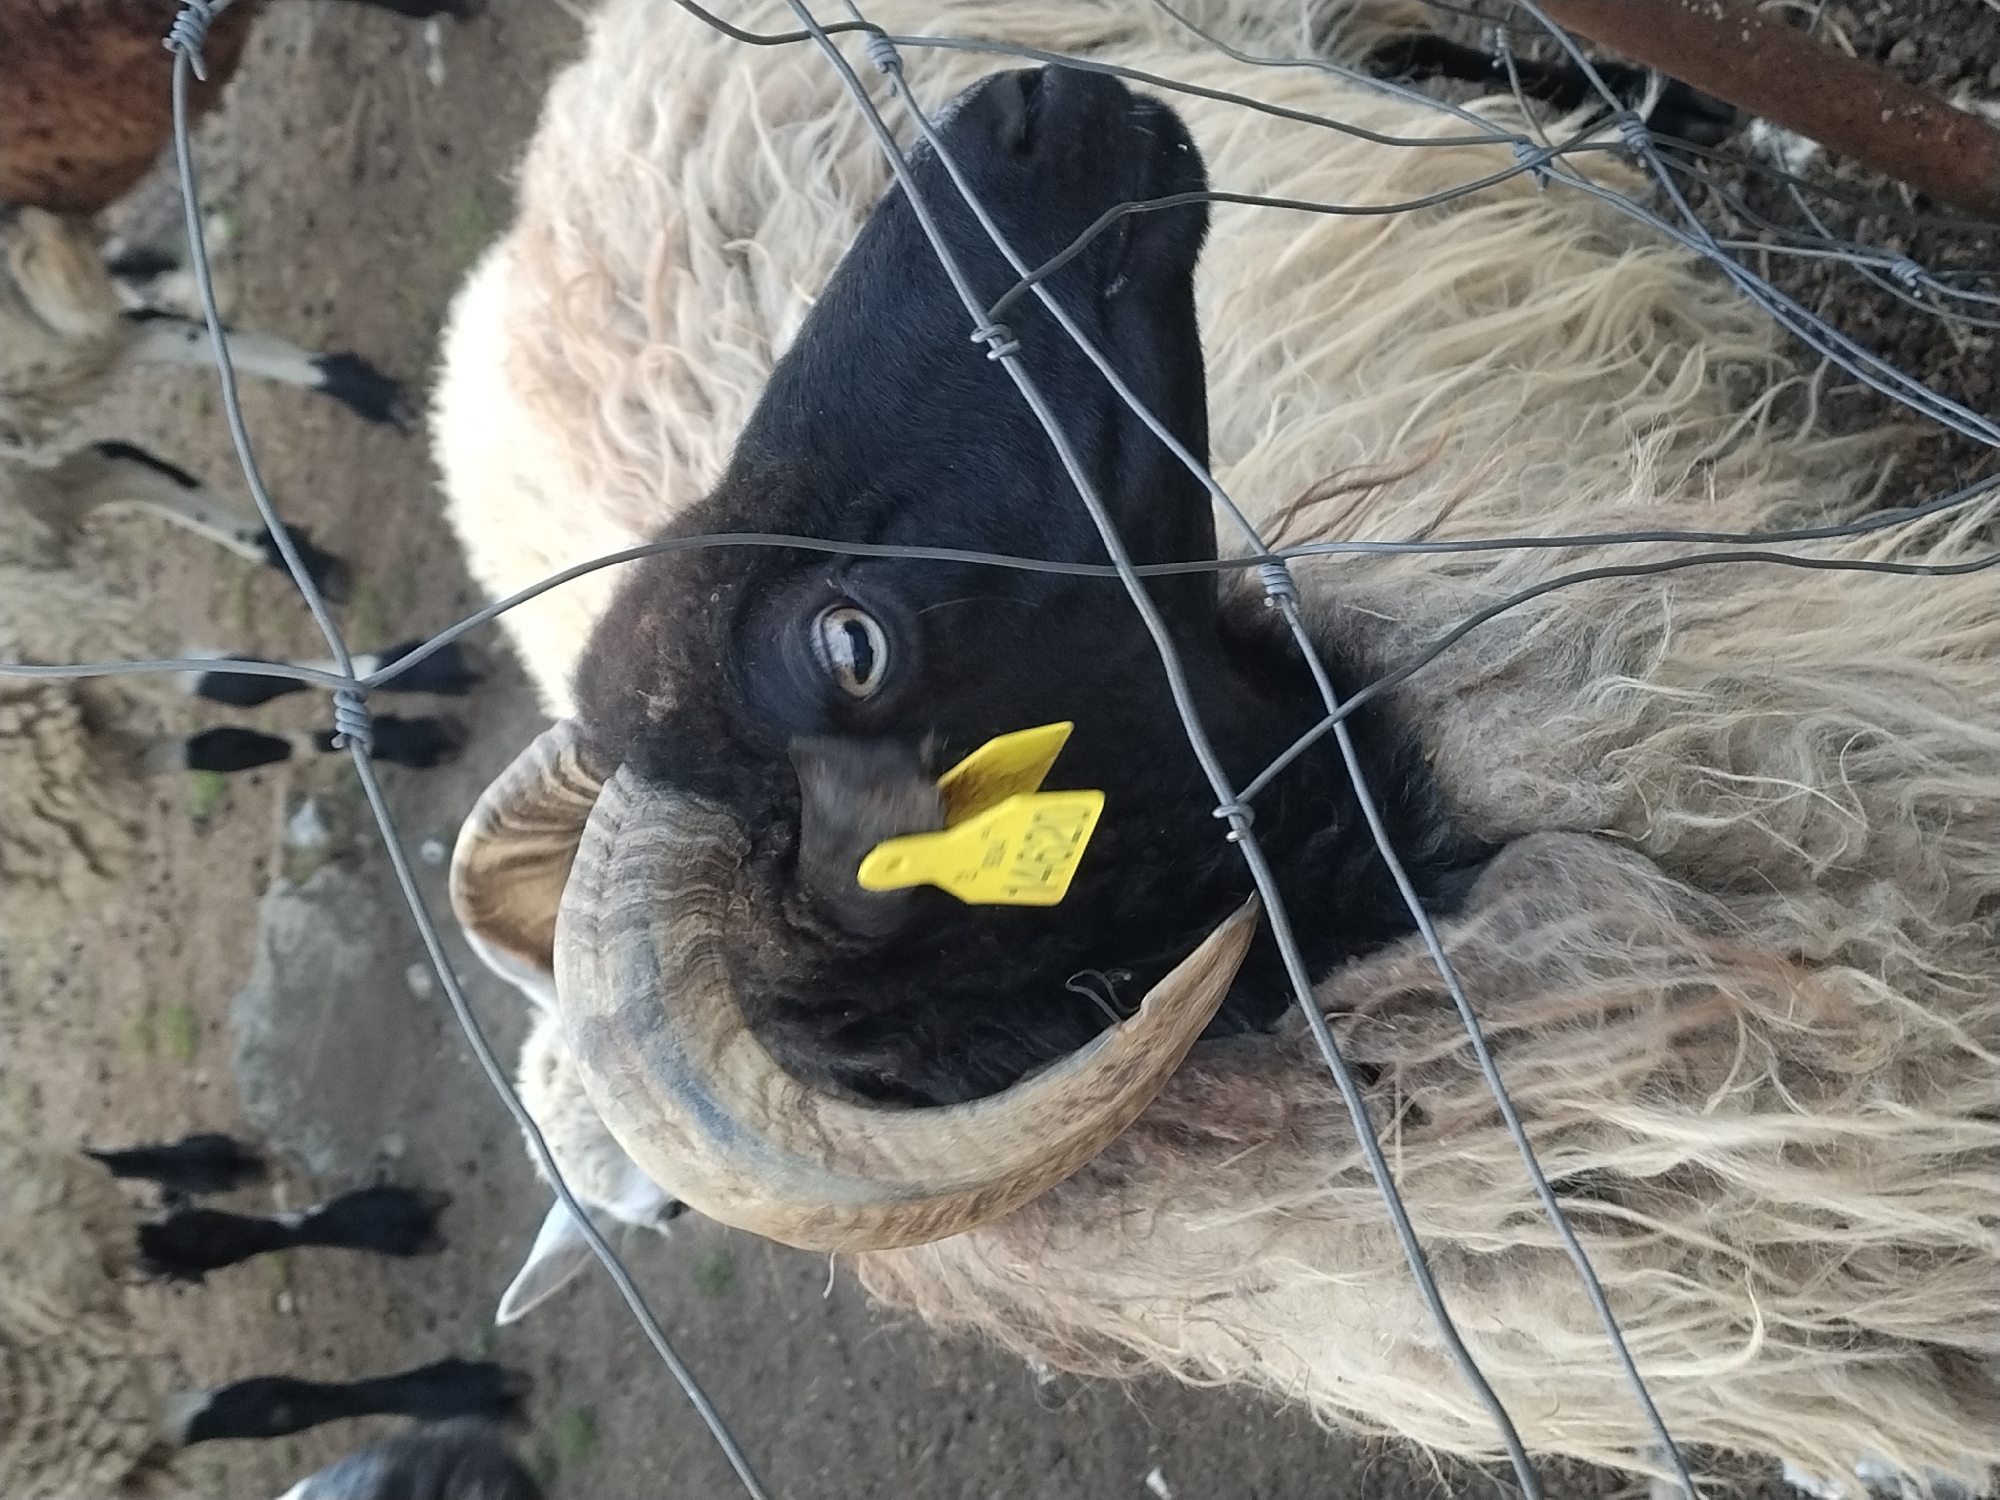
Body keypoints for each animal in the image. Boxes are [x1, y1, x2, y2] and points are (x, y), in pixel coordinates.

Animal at [0, 1128, 530, 1499]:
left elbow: (214, 1242)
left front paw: (384, 1219)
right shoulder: (79, 1443)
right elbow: (273, 1408)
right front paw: (465, 1392)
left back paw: (205, 1162)